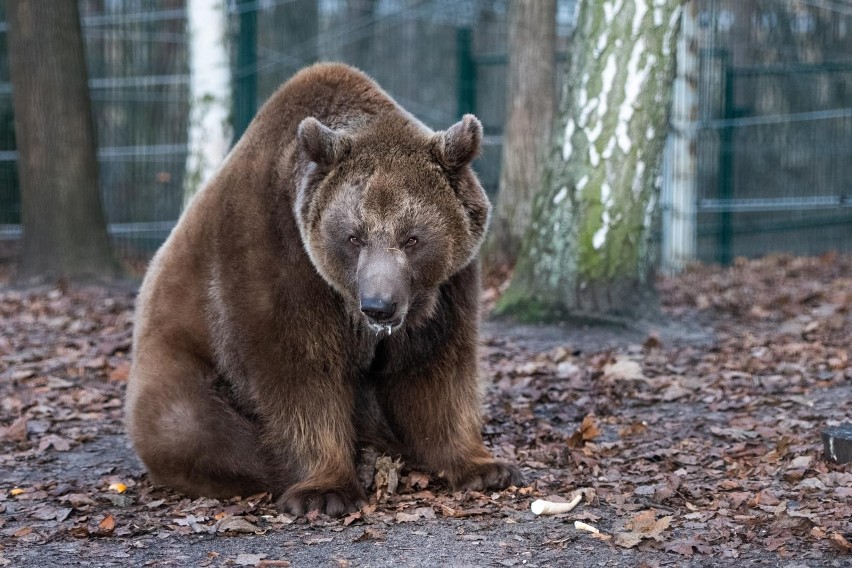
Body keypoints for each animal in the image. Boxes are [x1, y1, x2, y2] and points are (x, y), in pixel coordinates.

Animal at [123, 61, 524, 516]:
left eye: (412, 238)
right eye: (353, 236)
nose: (379, 306)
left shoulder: (444, 291)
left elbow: (435, 369)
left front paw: (486, 467)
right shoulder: (276, 261)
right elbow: (300, 373)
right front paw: (325, 491)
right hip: (178, 365)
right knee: (191, 427)